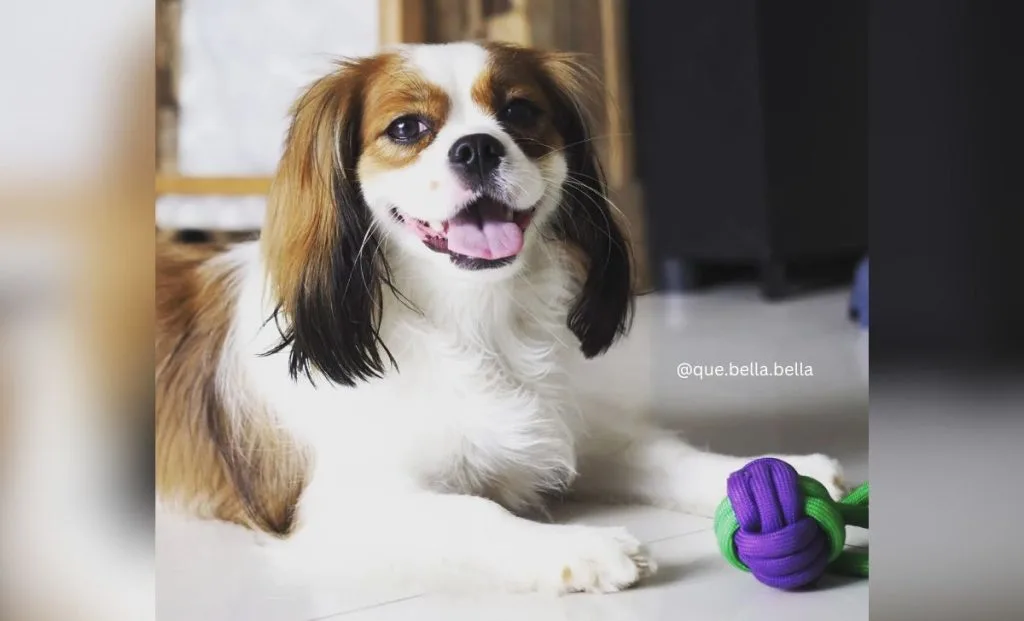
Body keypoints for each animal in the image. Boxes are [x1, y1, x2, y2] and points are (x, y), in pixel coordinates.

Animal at [153, 41, 839, 594]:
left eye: (519, 113)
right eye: (407, 127)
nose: (479, 147)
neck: (473, 317)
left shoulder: (567, 429)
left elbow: (664, 455)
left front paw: (780, 472)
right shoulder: (342, 505)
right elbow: (472, 513)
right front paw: (579, 547)